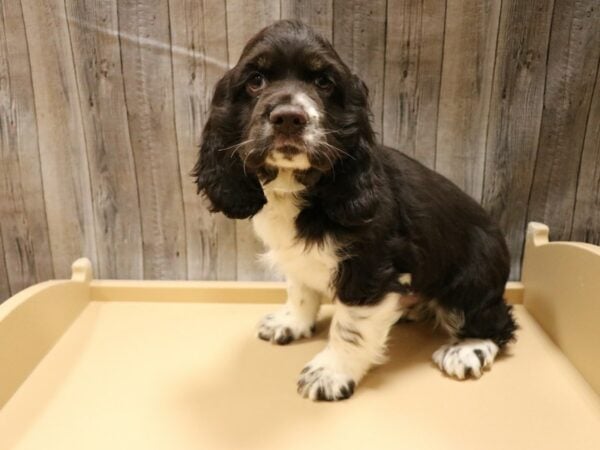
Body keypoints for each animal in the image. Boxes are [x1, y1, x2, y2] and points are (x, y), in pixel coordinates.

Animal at [192, 20, 516, 400]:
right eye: (255, 80)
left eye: (324, 82)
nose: (288, 117)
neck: (303, 189)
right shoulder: (298, 258)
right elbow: (300, 290)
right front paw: (291, 323)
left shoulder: (368, 268)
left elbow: (350, 328)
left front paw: (330, 373)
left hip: (472, 278)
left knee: (496, 320)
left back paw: (466, 349)